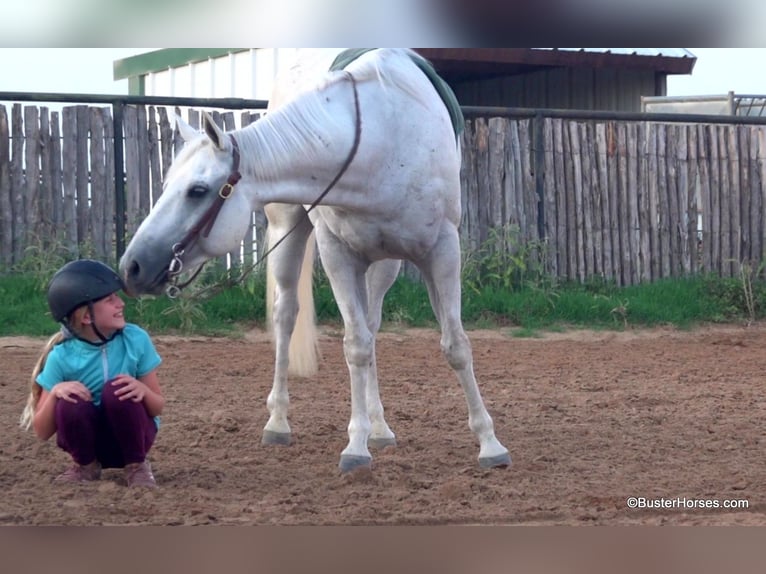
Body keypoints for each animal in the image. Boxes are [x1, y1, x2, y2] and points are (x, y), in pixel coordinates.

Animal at [120, 48, 512, 472]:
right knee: (287, 315)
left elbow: (455, 344)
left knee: (372, 325)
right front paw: (355, 446)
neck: (382, 141)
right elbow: (356, 346)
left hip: (384, 263)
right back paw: (278, 422)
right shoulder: (337, 253)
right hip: (289, 234)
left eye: (197, 190)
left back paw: (380, 427)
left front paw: (490, 443)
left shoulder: (441, 249)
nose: (132, 266)